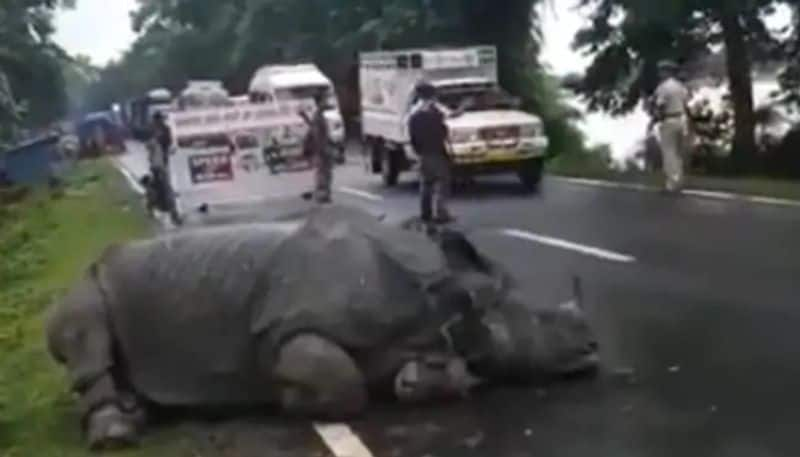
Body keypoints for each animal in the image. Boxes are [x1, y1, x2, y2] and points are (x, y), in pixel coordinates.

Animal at [42, 205, 592, 448]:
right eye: (532, 321)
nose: (592, 344)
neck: (444, 295)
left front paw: (420, 379)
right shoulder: (284, 334)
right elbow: (341, 382)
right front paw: (291, 401)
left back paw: (137, 410)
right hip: (86, 282)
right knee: (84, 327)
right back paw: (116, 433)